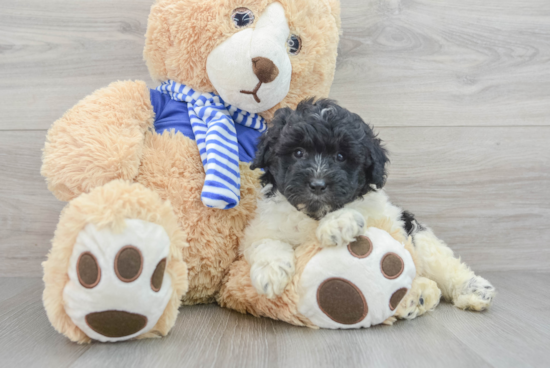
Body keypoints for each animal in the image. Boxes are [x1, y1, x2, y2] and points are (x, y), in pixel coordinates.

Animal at [242, 100, 496, 316]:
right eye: (298, 153)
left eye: (341, 156)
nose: (318, 184)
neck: (314, 215)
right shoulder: (263, 227)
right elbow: (266, 242)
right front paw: (271, 273)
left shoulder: (383, 214)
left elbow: (359, 209)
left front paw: (337, 224)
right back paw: (418, 297)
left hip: (420, 240)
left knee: (445, 266)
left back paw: (471, 291)